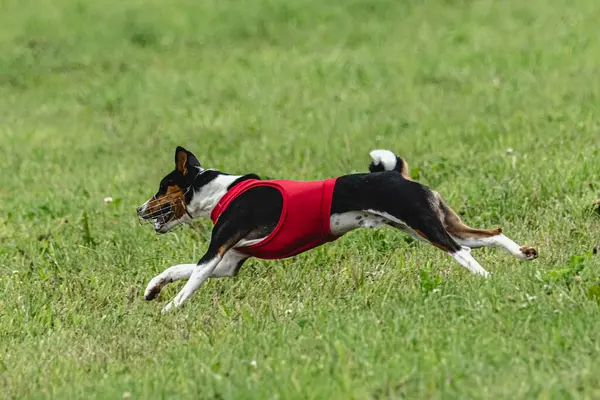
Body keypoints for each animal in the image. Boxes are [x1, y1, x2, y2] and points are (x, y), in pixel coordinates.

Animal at [137, 147, 540, 312]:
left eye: (159, 188)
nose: (139, 209)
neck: (220, 192)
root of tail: (397, 174)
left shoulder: (215, 254)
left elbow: (189, 283)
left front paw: (169, 308)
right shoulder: (228, 262)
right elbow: (175, 270)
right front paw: (152, 289)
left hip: (428, 227)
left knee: (466, 253)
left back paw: (487, 281)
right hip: (436, 223)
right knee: (490, 235)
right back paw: (523, 255)